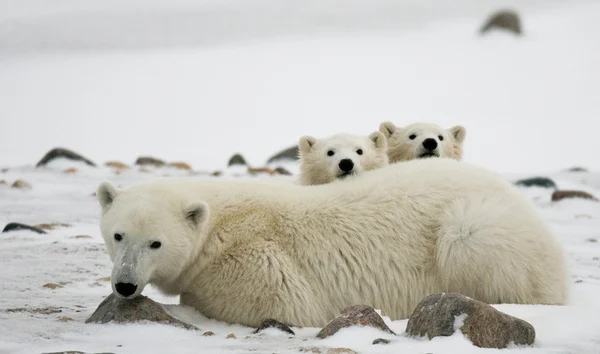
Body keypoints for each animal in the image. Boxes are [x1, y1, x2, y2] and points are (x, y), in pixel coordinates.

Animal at [97, 159, 568, 328]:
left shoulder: (256, 258)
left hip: (477, 227)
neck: (220, 222)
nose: (124, 285)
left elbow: (281, 303)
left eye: (156, 243)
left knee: (472, 240)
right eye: (118, 235)